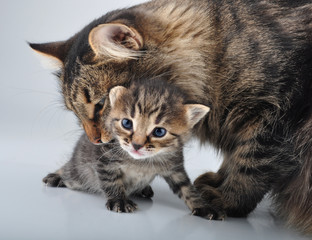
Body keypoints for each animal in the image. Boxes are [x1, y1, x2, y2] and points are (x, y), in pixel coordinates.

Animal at [43, 80, 219, 218]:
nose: (136, 145)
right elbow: (111, 180)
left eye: (159, 132)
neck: (140, 162)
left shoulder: (175, 167)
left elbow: (187, 188)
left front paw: (203, 206)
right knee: (70, 172)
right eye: (127, 123)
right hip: (78, 172)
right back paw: (56, 176)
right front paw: (119, 200)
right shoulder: (104, 159)